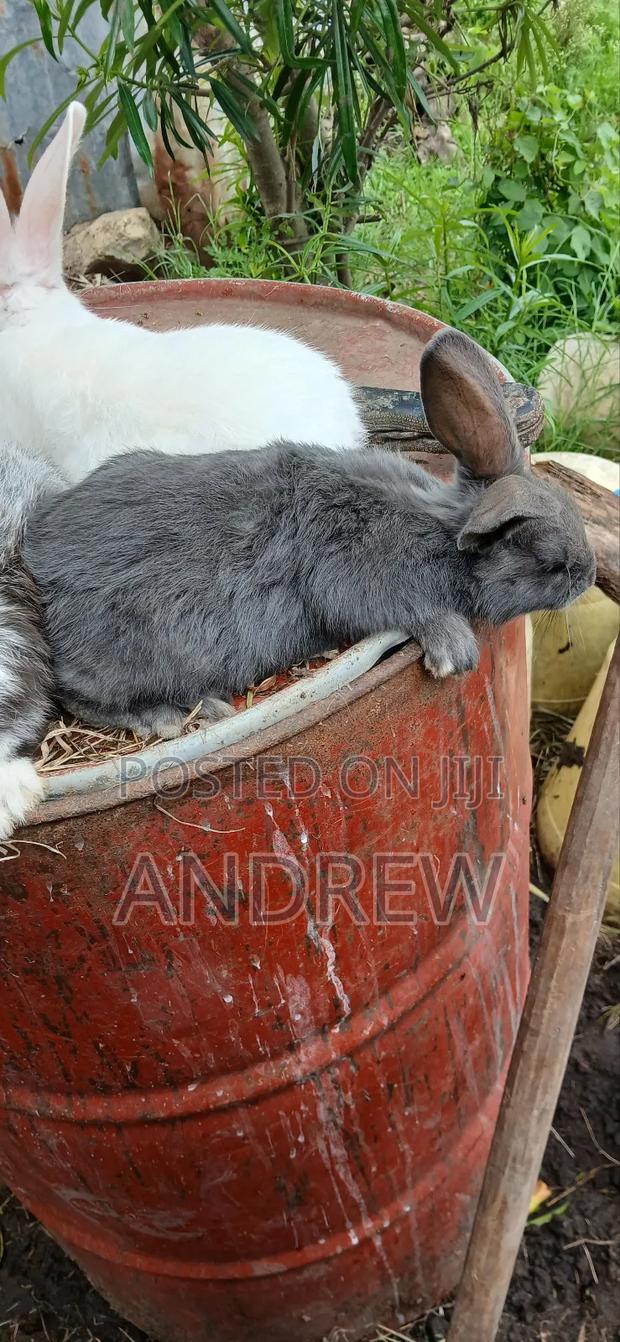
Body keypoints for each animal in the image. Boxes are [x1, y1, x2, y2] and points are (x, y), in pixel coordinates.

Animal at [24, 328, 596, 741]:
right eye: (549, 560)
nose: (588, 575)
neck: (438, 532)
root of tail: (34, 564)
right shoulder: (356, 577)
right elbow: (412, 611)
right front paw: (456, 652)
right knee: (76, 693)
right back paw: (173, 715)